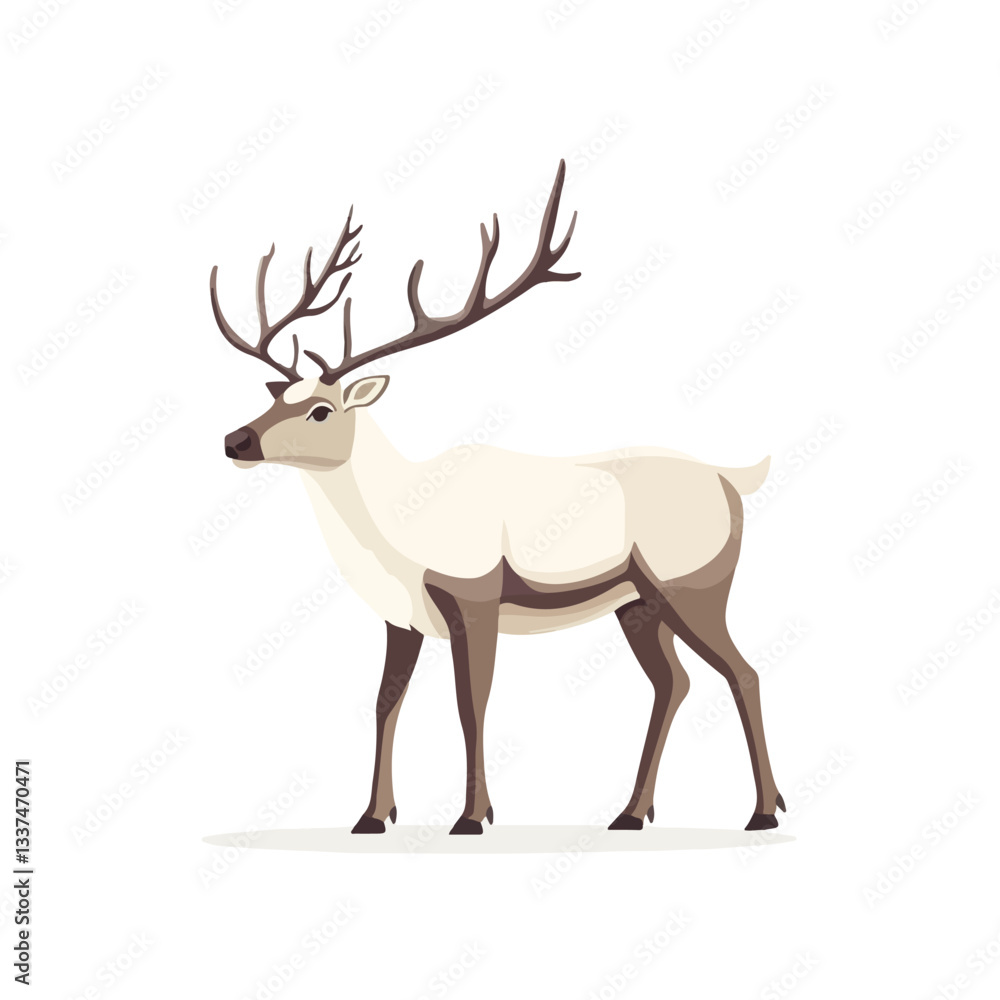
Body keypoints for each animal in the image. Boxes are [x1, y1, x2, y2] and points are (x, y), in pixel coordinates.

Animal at [211, 161, 784, 836]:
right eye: (278, 398)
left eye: (322, 409)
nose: (235, 439)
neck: (398, 537)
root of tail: (734, 478)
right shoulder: (400, 617)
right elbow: (384, 703)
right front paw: (373, 816)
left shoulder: (475, 593)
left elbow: (471, 701)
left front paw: (472, 817)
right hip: (636, 604)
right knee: (674, 682)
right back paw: (630, 813)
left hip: (691, 584)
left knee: (743, 671)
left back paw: (763, 812)